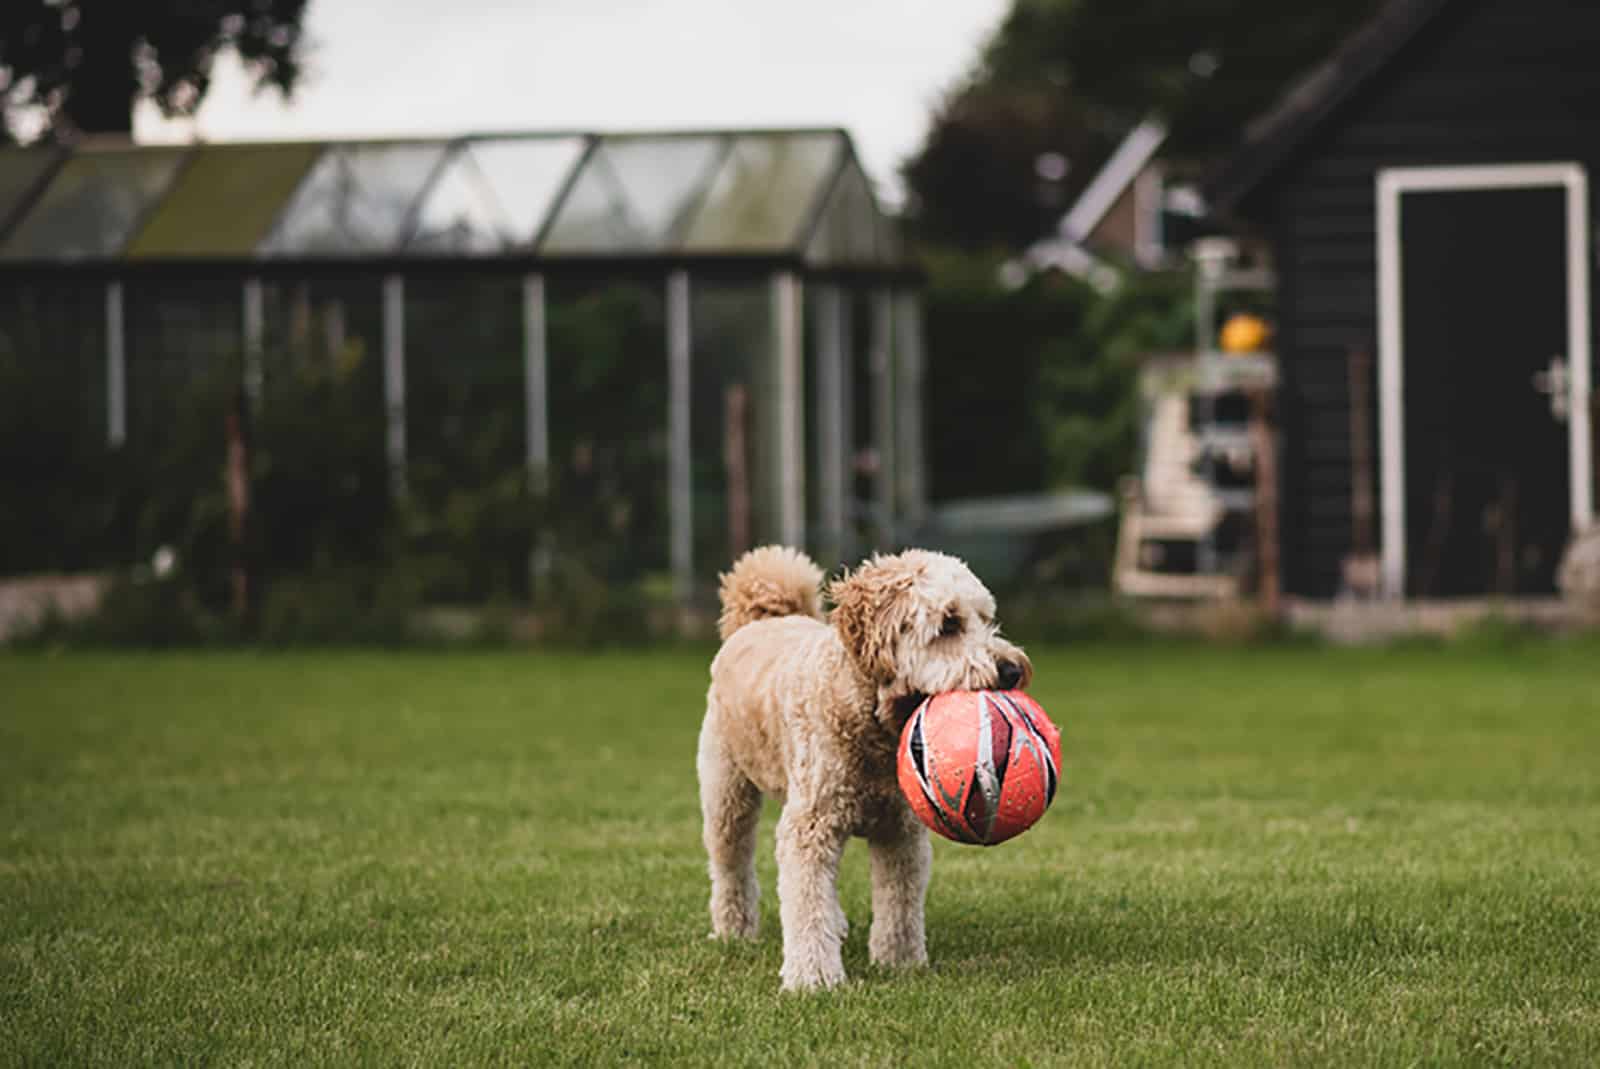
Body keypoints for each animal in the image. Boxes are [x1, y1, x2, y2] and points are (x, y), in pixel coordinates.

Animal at [694, 547, 1030, 992]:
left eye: (987, 618)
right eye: (949, 624)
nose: (1012, 670)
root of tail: (760, 620)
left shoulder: (900, 831)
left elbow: (899, 902)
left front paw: (900, 962)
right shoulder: (809, 827)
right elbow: (807, 904)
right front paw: (814, 978)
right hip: (727, 792)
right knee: (731, 863)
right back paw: (733, 930)